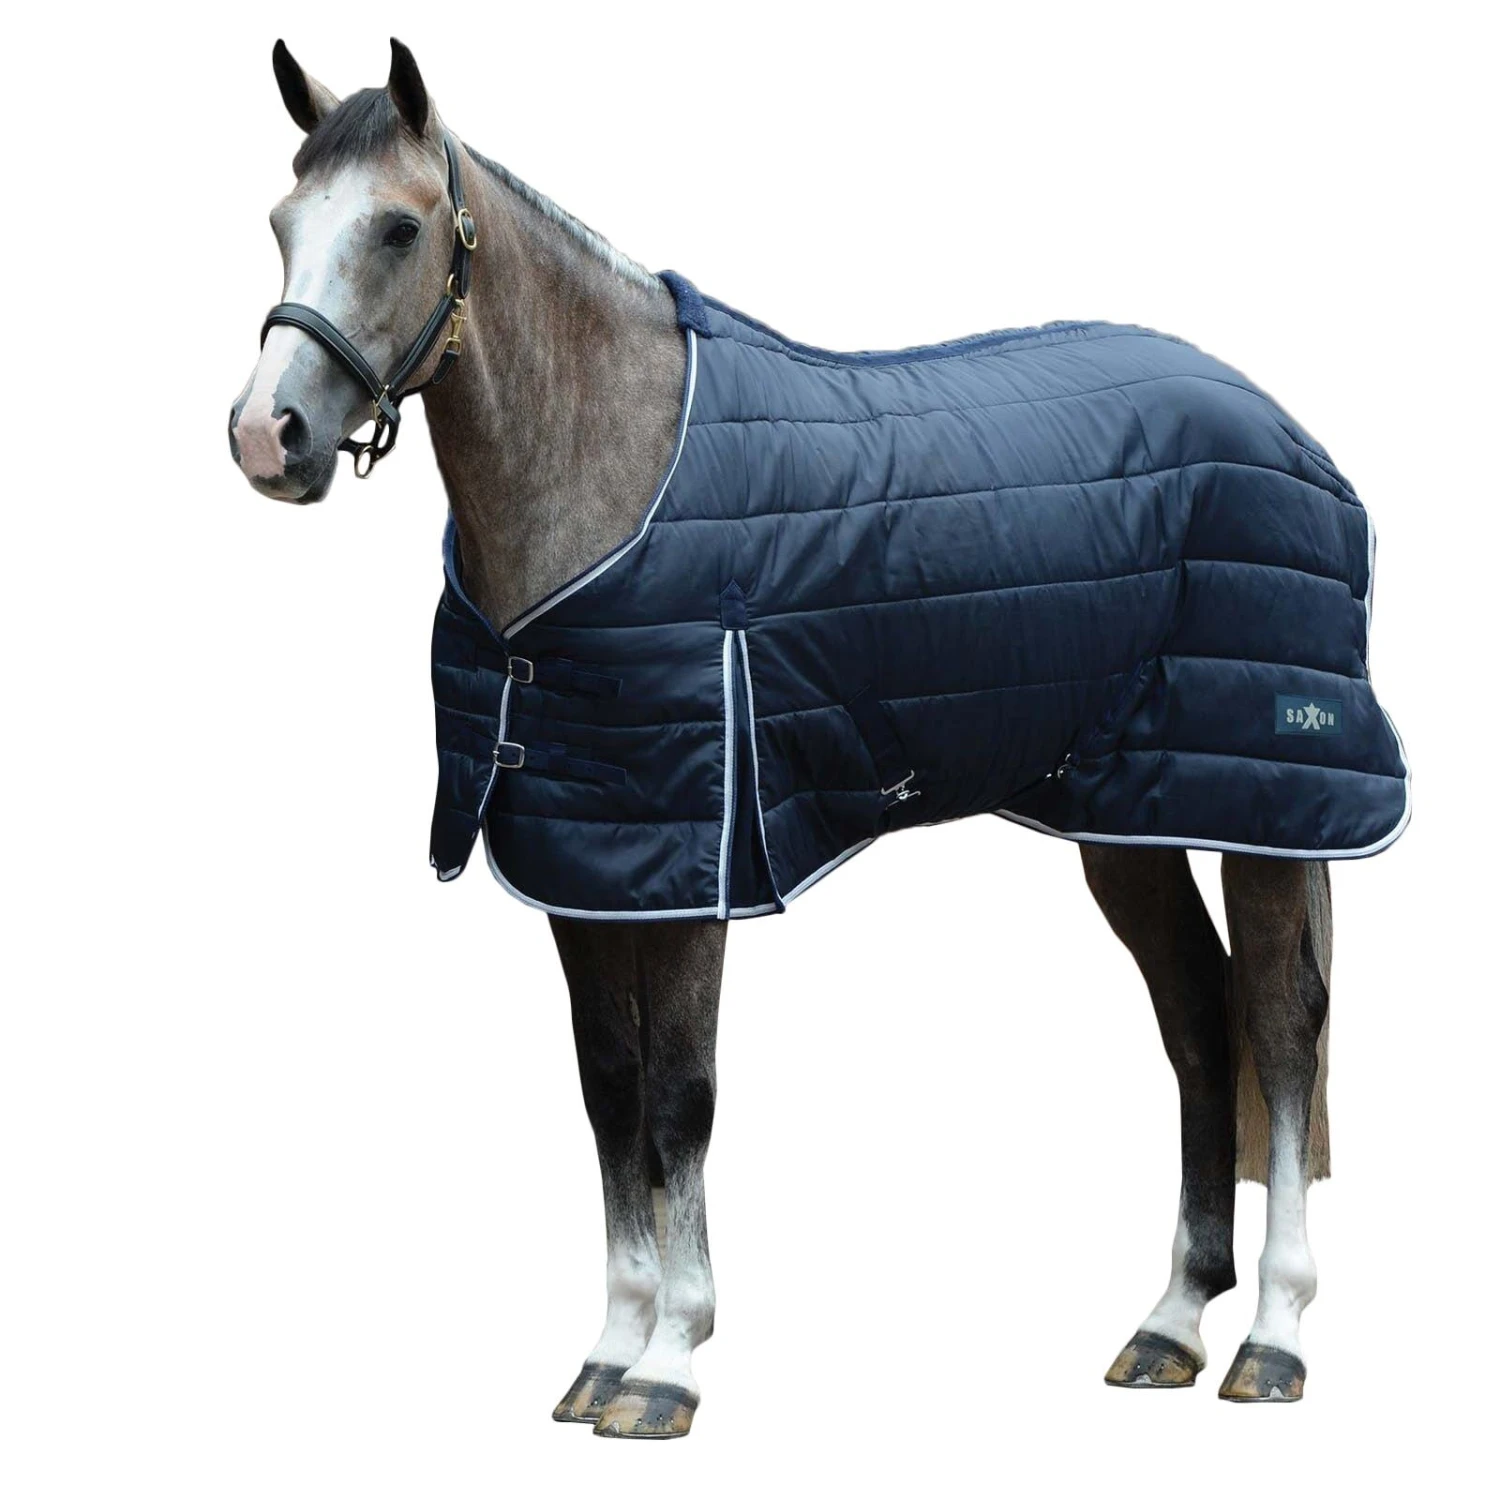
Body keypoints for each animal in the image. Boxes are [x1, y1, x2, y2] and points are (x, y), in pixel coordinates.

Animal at [229, 39, 1388, 1435]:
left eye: (398, 227)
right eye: (281, 223)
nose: (267, 436)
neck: (613, 480)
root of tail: (1288, 432)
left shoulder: (699, 866)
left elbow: (682, 1099)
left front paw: (669, 1364)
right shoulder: (590, 866)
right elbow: (610, 1093)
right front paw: (607, 1350)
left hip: (1264, 805)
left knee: (1280, 1022)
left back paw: (1273, 1337)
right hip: (1132, 819)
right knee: (1199, 1021)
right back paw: (1168, 1324)